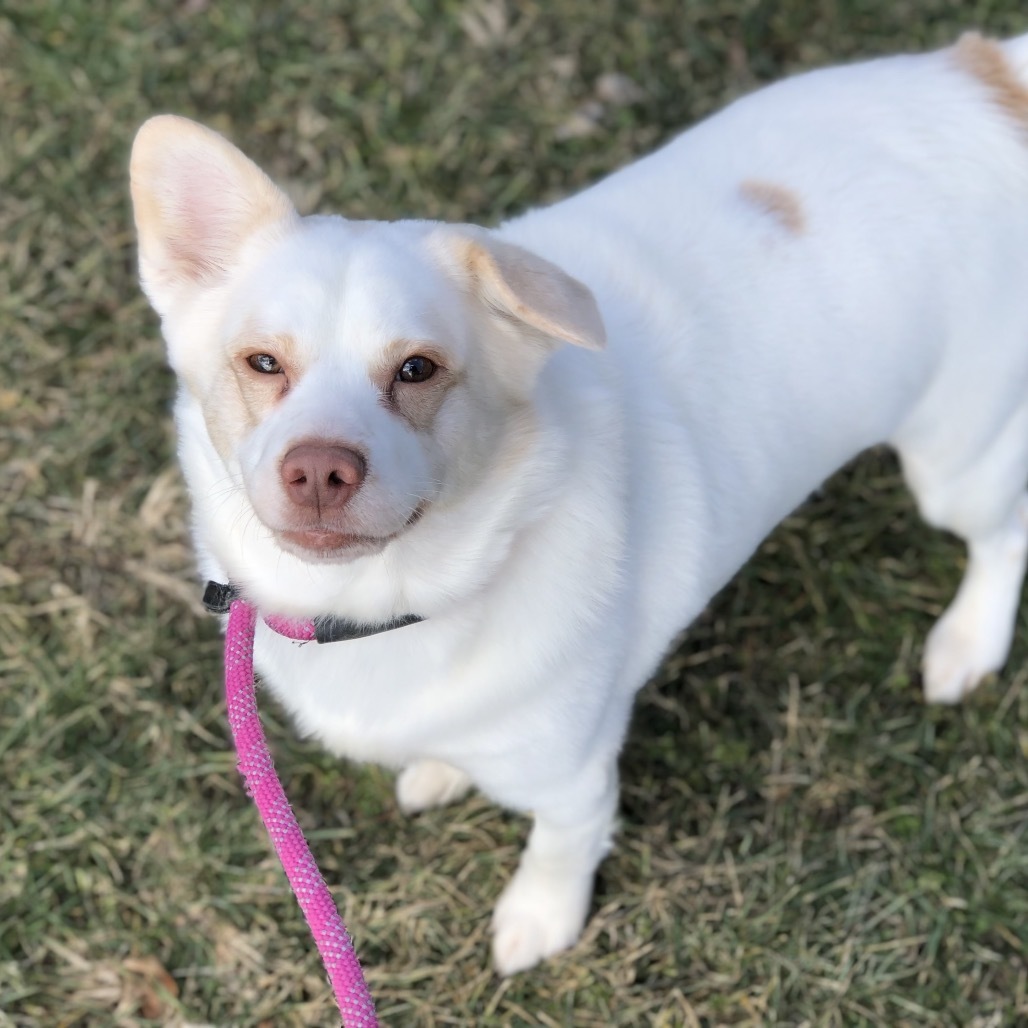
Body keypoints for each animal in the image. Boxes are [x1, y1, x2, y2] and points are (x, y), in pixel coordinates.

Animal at [128, 32, 1028, 974]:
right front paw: (442, 772)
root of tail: (989, 73)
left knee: (1005, 535)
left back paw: (969, 643)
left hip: (955, 460)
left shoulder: (577, 779)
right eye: (263, 363)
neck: (389, 609)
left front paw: (540, 918)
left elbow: (562, 846)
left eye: (418, 368)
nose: (318, 470)